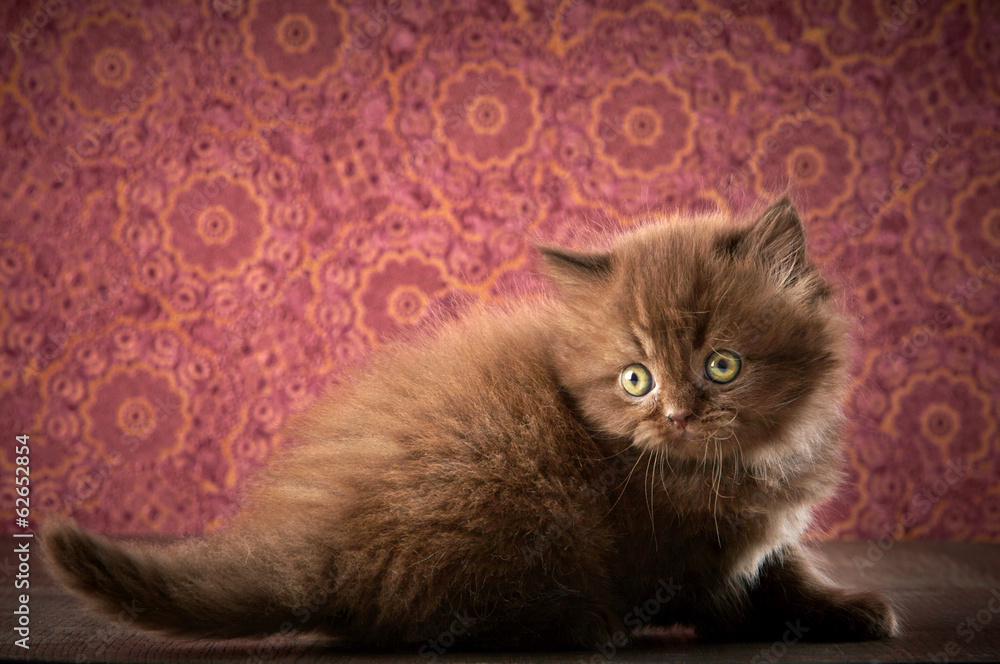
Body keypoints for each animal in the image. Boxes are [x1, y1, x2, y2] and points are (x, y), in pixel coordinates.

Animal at [41, 197, 900, 648]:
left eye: (722, 365)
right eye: (637, 379)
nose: (679, 414)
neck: (740, 466)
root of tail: (318, 548)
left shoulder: (765, 538)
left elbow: (788, 569)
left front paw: (849, 606)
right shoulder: (677, 554)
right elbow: (725, 598)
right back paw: (586, 623)